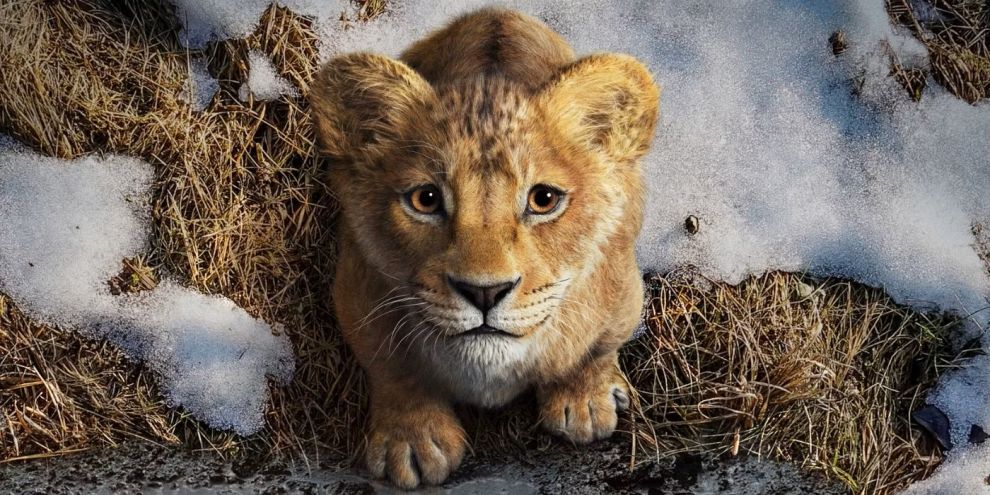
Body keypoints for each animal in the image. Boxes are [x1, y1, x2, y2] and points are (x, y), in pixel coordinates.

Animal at [310, 8, 659, 489]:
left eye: (543, 199)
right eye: (426, 199)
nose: (484, 292)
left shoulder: (623, 289)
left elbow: (596, 348)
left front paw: (584, 402)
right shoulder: (356, 289)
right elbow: (392, 367)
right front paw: (411, 440)